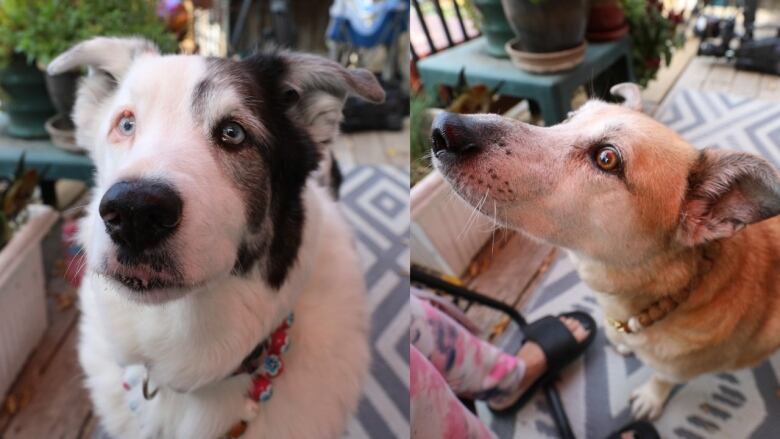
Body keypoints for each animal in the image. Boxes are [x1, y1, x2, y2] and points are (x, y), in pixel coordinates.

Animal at [430, 84, 780, 422]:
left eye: (607, 158)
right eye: (570, 117)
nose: (442, 128)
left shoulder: (675, 369)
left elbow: (661, 378)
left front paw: (651, 397)